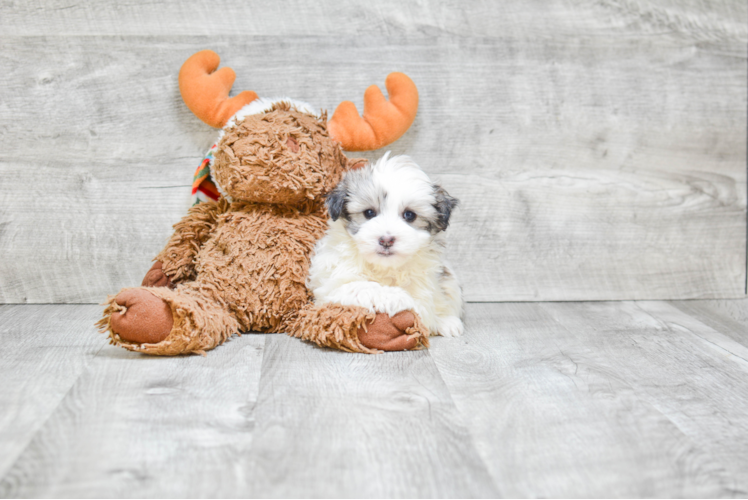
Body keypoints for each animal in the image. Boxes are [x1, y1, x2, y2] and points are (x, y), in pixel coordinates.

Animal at [306, 153, 464, 336]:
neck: (384, 267)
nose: (386, 240)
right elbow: (364, 287)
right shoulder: (332, 286)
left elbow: (425, 307)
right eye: (369, 213)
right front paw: (396, 296)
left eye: (409, 215)